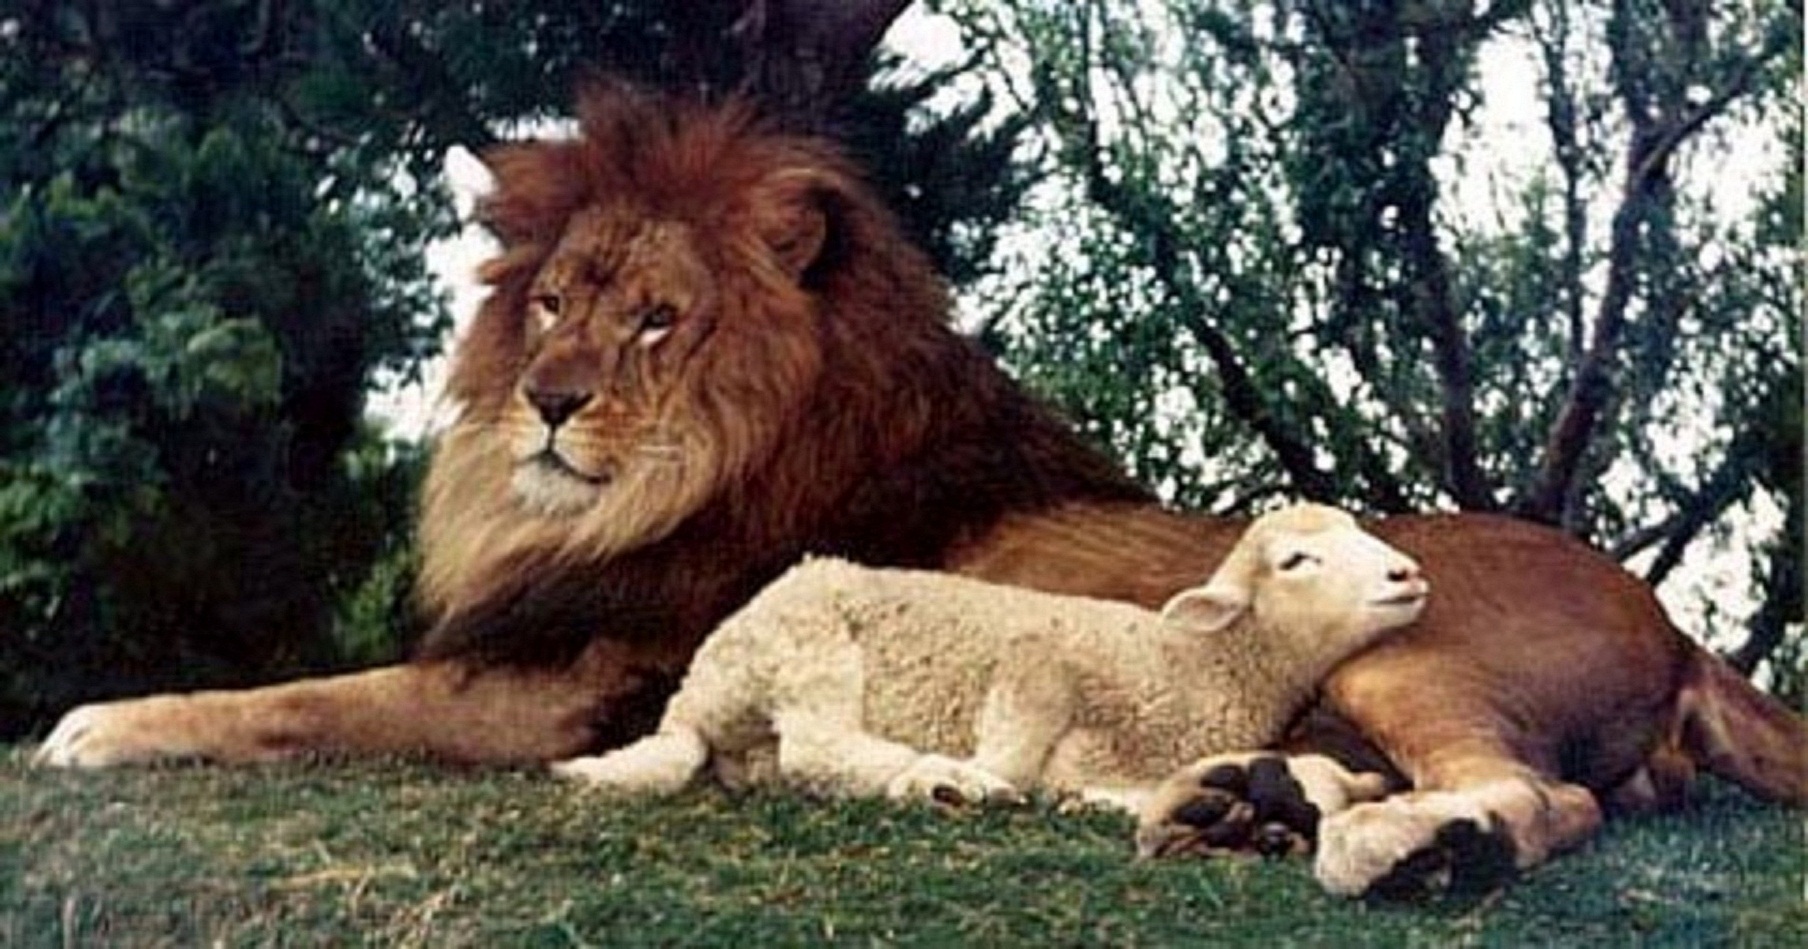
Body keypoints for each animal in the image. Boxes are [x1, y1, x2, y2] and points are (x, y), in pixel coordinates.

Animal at [553, 503, 1429, 812]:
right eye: (1295, 561)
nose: (1408, 574)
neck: (1192, 662)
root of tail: (691, 699)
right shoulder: (1037, 667)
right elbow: (1014, 752)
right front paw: (1005, 780)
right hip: (807, 642)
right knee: (817, 747)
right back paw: (935, 777)